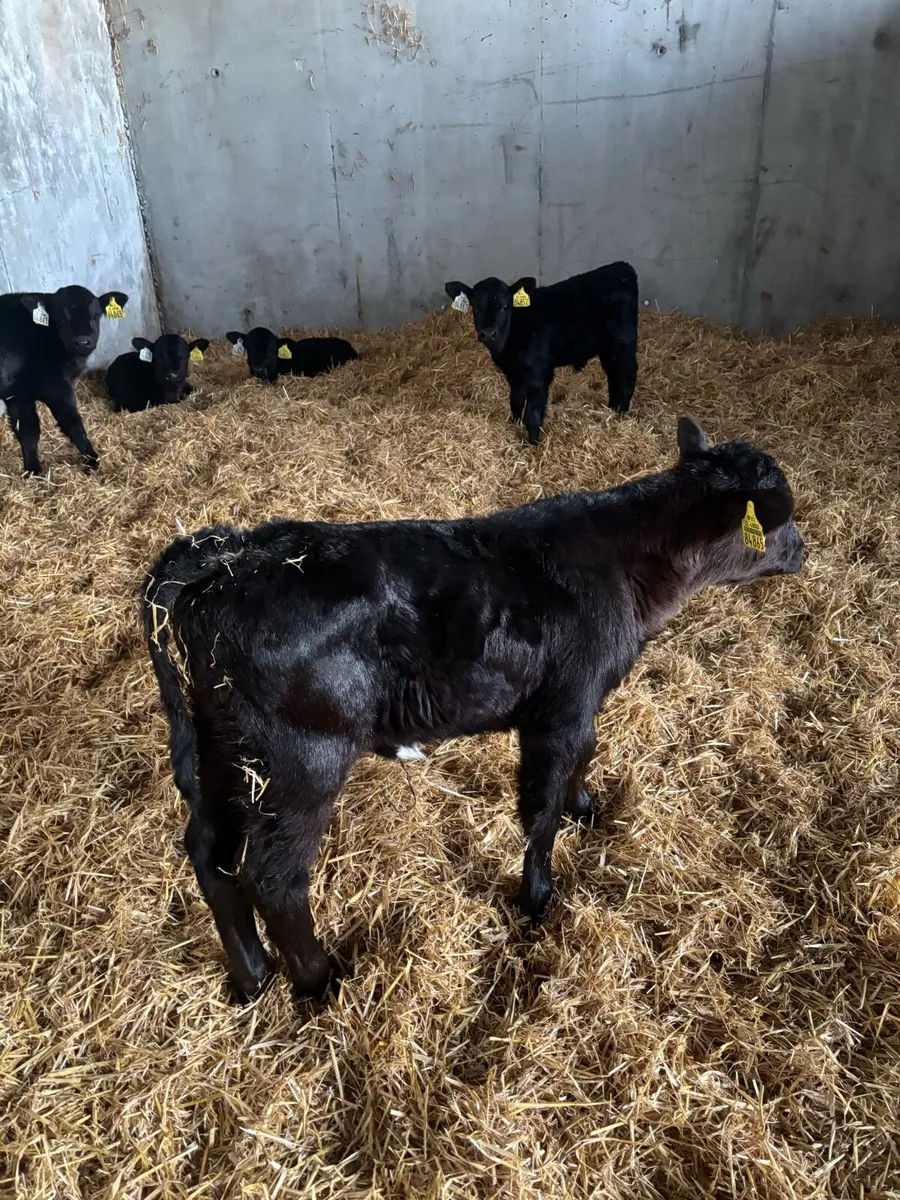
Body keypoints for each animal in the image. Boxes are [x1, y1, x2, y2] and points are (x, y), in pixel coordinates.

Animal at [0, 285, 128, 475]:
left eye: (96, 315)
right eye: (61, 317)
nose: (82, 342)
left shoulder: (17, 394)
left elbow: (27, 431)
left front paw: (33, 471)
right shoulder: (56, 387)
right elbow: (72, 423)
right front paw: (92, 460)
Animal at [143, 417, 803, 1003]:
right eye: (781, 518)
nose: (801, 551)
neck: (629, 566)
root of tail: (231, 552)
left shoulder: (579, 704)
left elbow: (584, 757)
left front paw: (584, 807)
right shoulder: (559, 709)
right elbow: (540, 808)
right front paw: (538, 898)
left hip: (224, 741)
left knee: (210, 853)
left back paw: (252, 977)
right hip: (301, 757)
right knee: (274, 877)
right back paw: (320, 981)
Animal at [445, 262, 638, 445]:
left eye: (505, 306)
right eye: (476, 308)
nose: (488, 333)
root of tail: (622, 267)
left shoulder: (539, 374)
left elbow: (533, 414)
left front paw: (532, 445)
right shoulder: (513, 373)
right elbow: (515, 401)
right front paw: (513, 425)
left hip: (624, 342)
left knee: (627, 377)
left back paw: (621, 414)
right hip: (608, 349)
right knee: (613, 376)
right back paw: (611, 409)